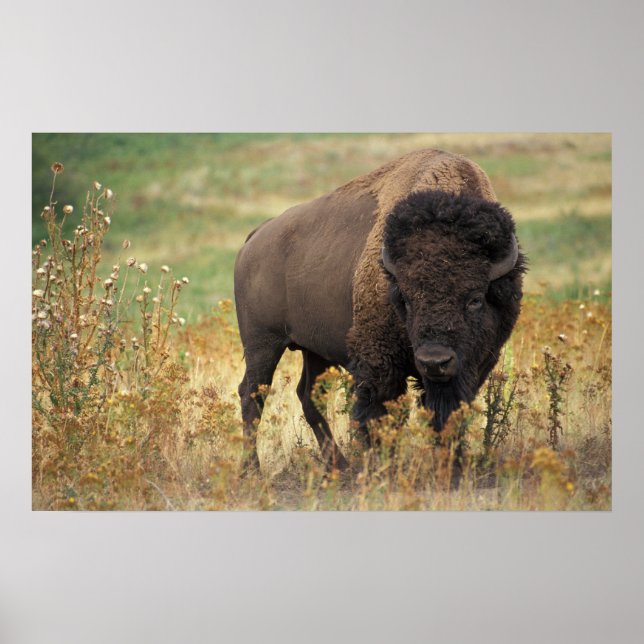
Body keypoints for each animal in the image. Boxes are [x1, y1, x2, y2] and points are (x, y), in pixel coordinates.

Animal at [234, 149, 526, 470]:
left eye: (475, 298)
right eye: (406, 299)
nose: (434, 361)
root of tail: (256, 237)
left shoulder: (474, 365)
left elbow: (447, 414)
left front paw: (451, 465)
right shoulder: (379, 364)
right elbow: (378, 415)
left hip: (314, 350)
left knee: (308, 395)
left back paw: (339, 466)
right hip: (262, 343)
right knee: (252, 394)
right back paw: (252, 469)